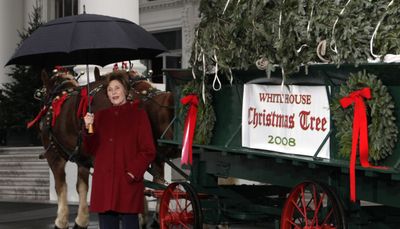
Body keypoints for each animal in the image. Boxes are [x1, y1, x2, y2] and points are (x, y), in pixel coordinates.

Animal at [35, 68, 177, 229]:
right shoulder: (83, 159)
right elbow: (82, 187)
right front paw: (81, 221)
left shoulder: (54, 156)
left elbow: (61, 187)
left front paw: (61, 222)